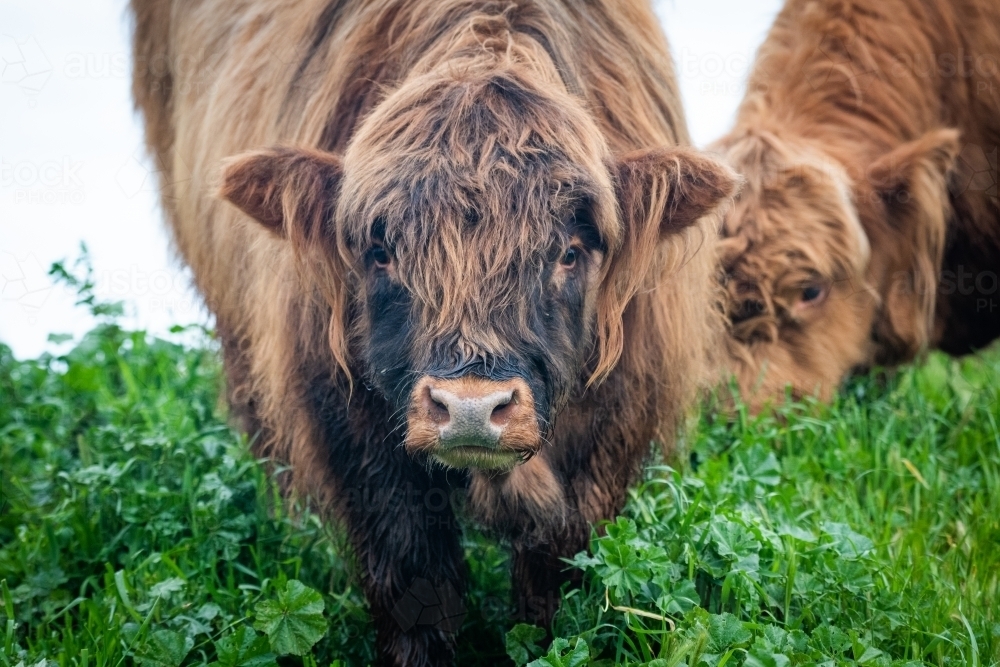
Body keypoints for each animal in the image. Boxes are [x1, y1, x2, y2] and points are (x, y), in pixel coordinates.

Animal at [129, 0, 740, 664]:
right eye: (381, 252)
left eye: (570, 252)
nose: (471, 409)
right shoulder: (354, 427)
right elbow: (413, 573)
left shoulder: (613, 424)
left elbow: (559, 575)